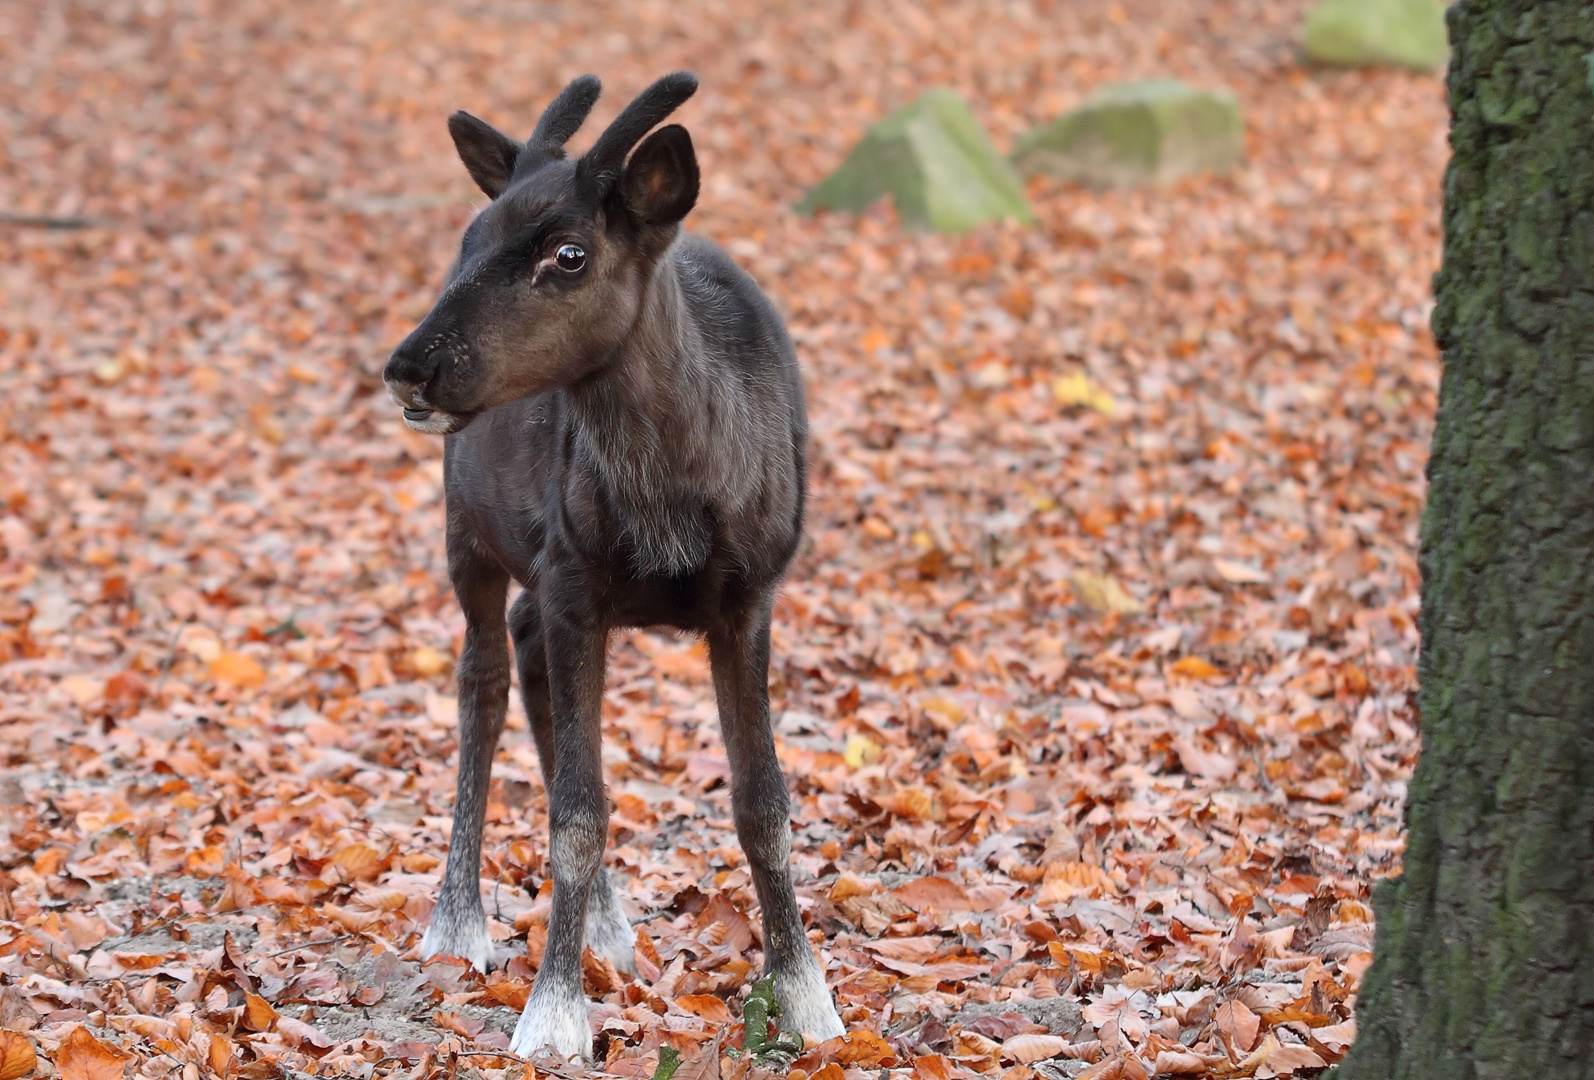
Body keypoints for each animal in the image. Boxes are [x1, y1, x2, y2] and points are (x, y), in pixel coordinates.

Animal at [384, 72, 848, 1064]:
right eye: (468, 239)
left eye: (568, 254)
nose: (409, 368)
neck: (676, 489)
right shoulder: (574, 586)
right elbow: (578, 815)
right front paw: (553, 1014)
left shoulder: (748, 598)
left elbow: (763, 804)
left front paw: (806, 997)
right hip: (468, 535)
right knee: (482, 682)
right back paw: (459, 921)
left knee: (522, 663)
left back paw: (604, 924)